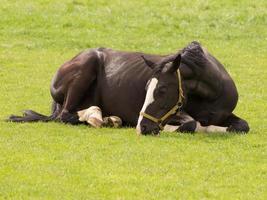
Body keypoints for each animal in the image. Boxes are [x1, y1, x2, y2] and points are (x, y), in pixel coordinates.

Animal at [8, 40, 251, 135]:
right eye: (147, 88)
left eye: (162, 90)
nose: (143, 127)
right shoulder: (179, 112)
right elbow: (191, 123)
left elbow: (242, 126)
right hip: (85, 69)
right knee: (66, 115)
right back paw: (98, 117)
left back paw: (109, 119)